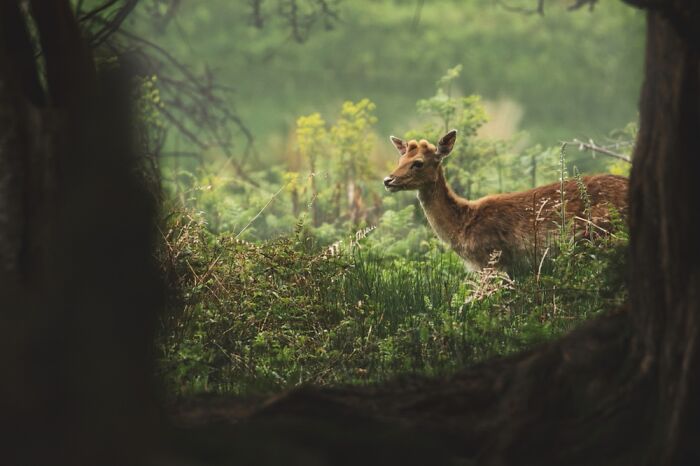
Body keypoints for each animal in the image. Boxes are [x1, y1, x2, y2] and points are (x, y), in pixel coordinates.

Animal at [383, 130, 628, 273]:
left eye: (418, 163)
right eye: (400, 159)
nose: (388, 180)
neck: (463, 226)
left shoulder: (494, 258)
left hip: (602, 235)